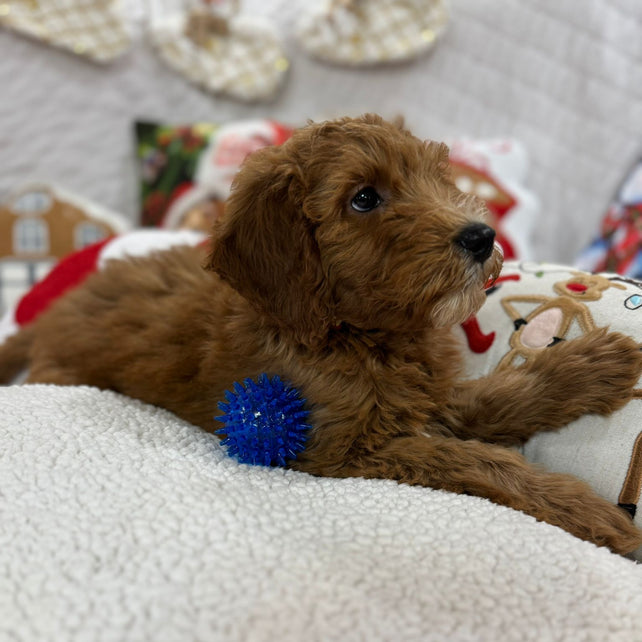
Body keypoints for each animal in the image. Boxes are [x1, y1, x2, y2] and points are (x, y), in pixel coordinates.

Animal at [1, 114, 640, 552]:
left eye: (436, 177)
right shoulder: (344, 449)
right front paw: (590, 514)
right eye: (365, 198)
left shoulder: (427, 396)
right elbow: (476, 460)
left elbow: (501, 397)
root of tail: (49, 316)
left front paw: (593, 365)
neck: (360, 335)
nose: (482, 237)